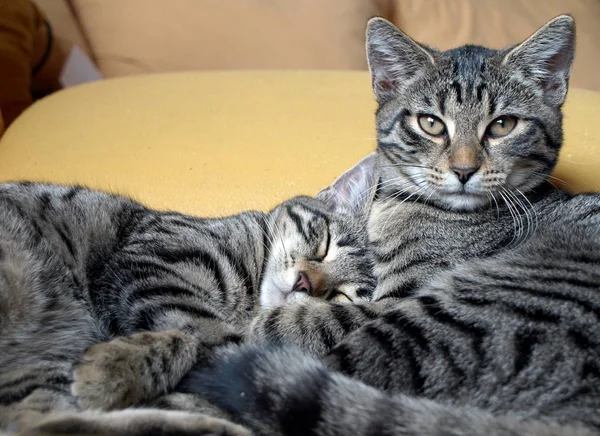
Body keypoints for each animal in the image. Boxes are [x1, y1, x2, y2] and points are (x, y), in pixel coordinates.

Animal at [0, 177, 376, 432]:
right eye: (324, 243)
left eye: (342, 294)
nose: (304, 283)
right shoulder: (154, 265)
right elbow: (200, 333)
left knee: (40, 423)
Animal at [177, 13, 600, 436]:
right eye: (431, 124)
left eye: (502, 125)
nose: (464, 170)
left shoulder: (392, 300)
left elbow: (317, 318)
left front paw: (259, 321)